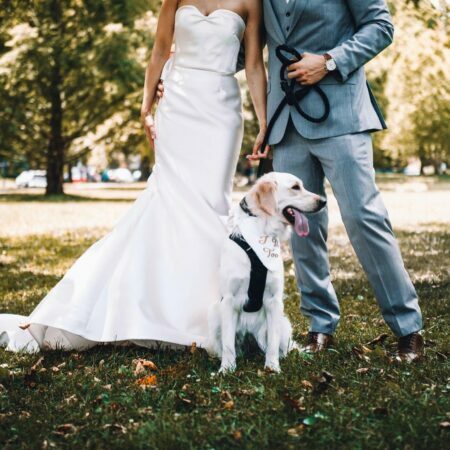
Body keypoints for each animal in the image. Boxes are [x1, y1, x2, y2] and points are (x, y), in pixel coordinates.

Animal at [207, 172, 326, 372]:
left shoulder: (274, 300)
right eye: (295, 187)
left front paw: (272, 368)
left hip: (282, 324)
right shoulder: (229, 300)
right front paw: (226, 369)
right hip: (216, 317)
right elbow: (228, 344)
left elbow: (272, 343)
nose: (324, 201)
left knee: (283, 346)